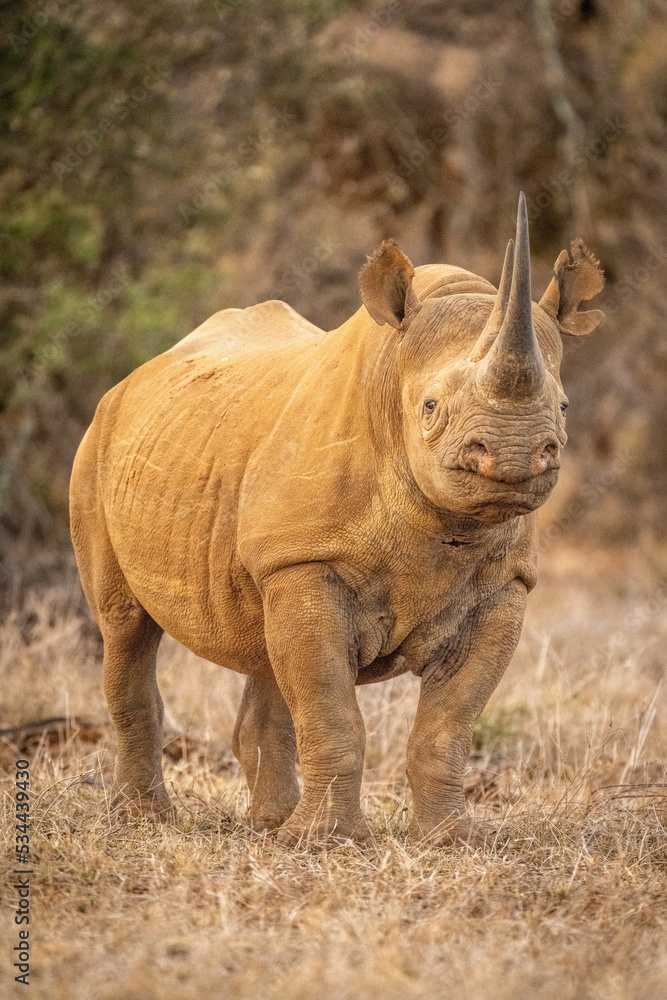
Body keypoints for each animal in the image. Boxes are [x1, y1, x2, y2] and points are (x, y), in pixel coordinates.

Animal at [70, 194, 604, 845]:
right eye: (430, 407)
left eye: (564, 407)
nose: (514, 453)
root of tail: (134, 378)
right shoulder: (307, 562)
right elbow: (331, 709)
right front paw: (325, 841)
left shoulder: (505, 585)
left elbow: (448, 725)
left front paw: (450, 838)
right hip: (98, 448)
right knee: (125, 626)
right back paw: (148, 819)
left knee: (263, 648)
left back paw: (269, 826)